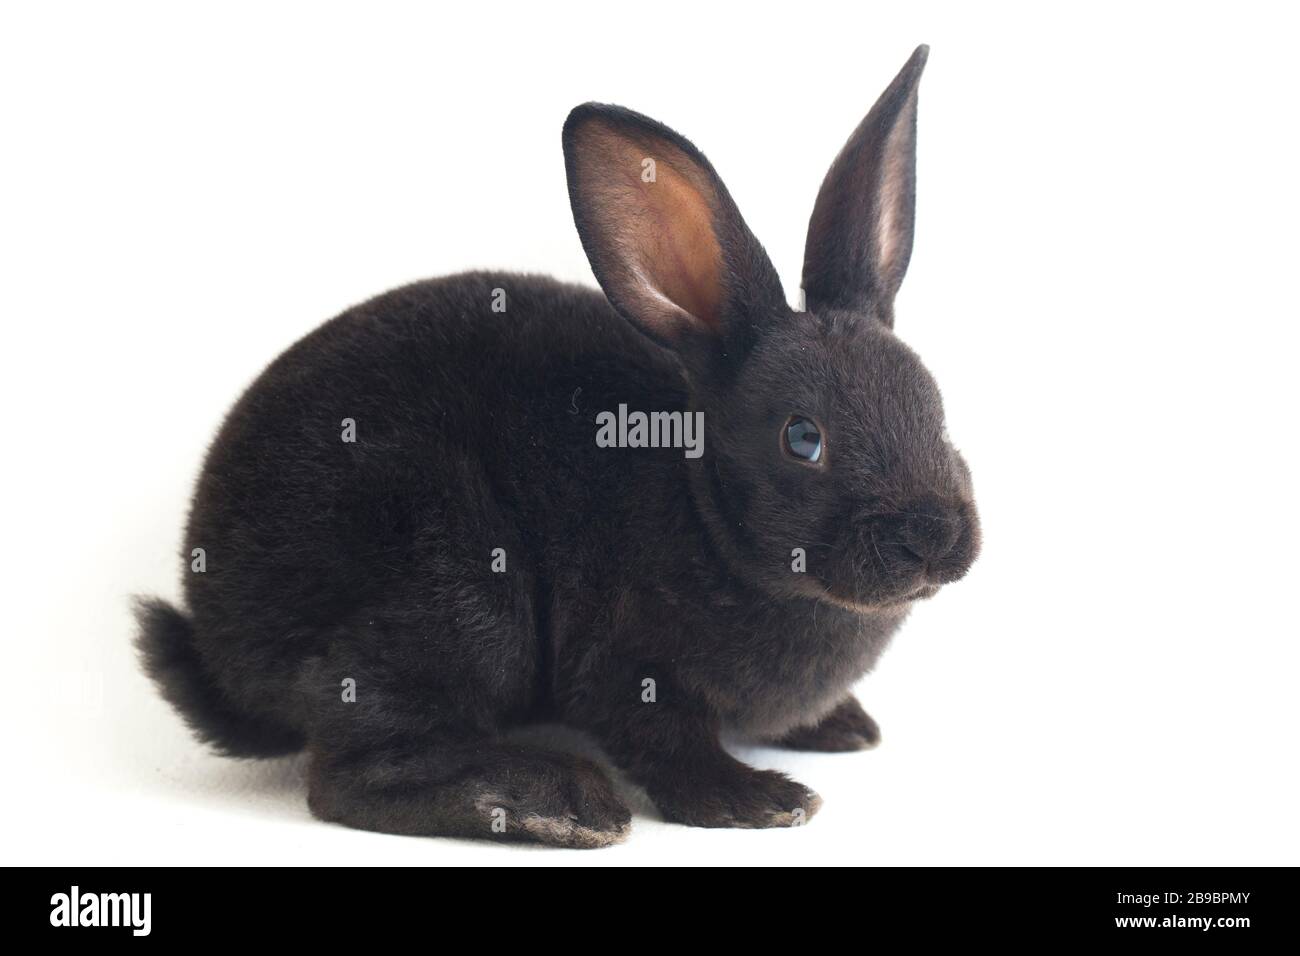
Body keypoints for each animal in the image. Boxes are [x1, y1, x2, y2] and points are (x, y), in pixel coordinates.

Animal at [135, 44, 979, 848]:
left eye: (935, 407)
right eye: (803, 439)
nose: (935, 537)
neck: (707, 512)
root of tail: (217, 644)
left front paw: (843, 727)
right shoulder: (623, 664)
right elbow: (669, 745)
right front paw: (759, 800)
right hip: (458, 592)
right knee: (352, 773)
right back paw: (559, 803)